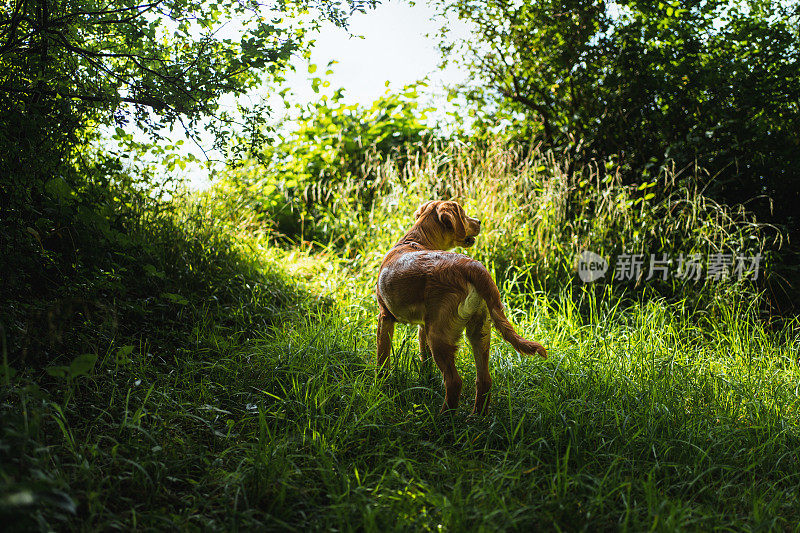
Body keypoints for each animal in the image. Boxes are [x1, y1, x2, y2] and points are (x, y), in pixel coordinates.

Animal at [378, 202, 548, 414]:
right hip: (480, 331)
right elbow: (424, 359)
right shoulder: (423, 326)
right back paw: (476, 417)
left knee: (454, 382)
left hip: (440, 337)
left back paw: (444, 417)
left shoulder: (385, 316)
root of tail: (473, 266)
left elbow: (382, 360)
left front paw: (380, 386)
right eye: (465, 214)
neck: (415, 240)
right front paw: (425, 380)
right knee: (484, 380)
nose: (479, 221)